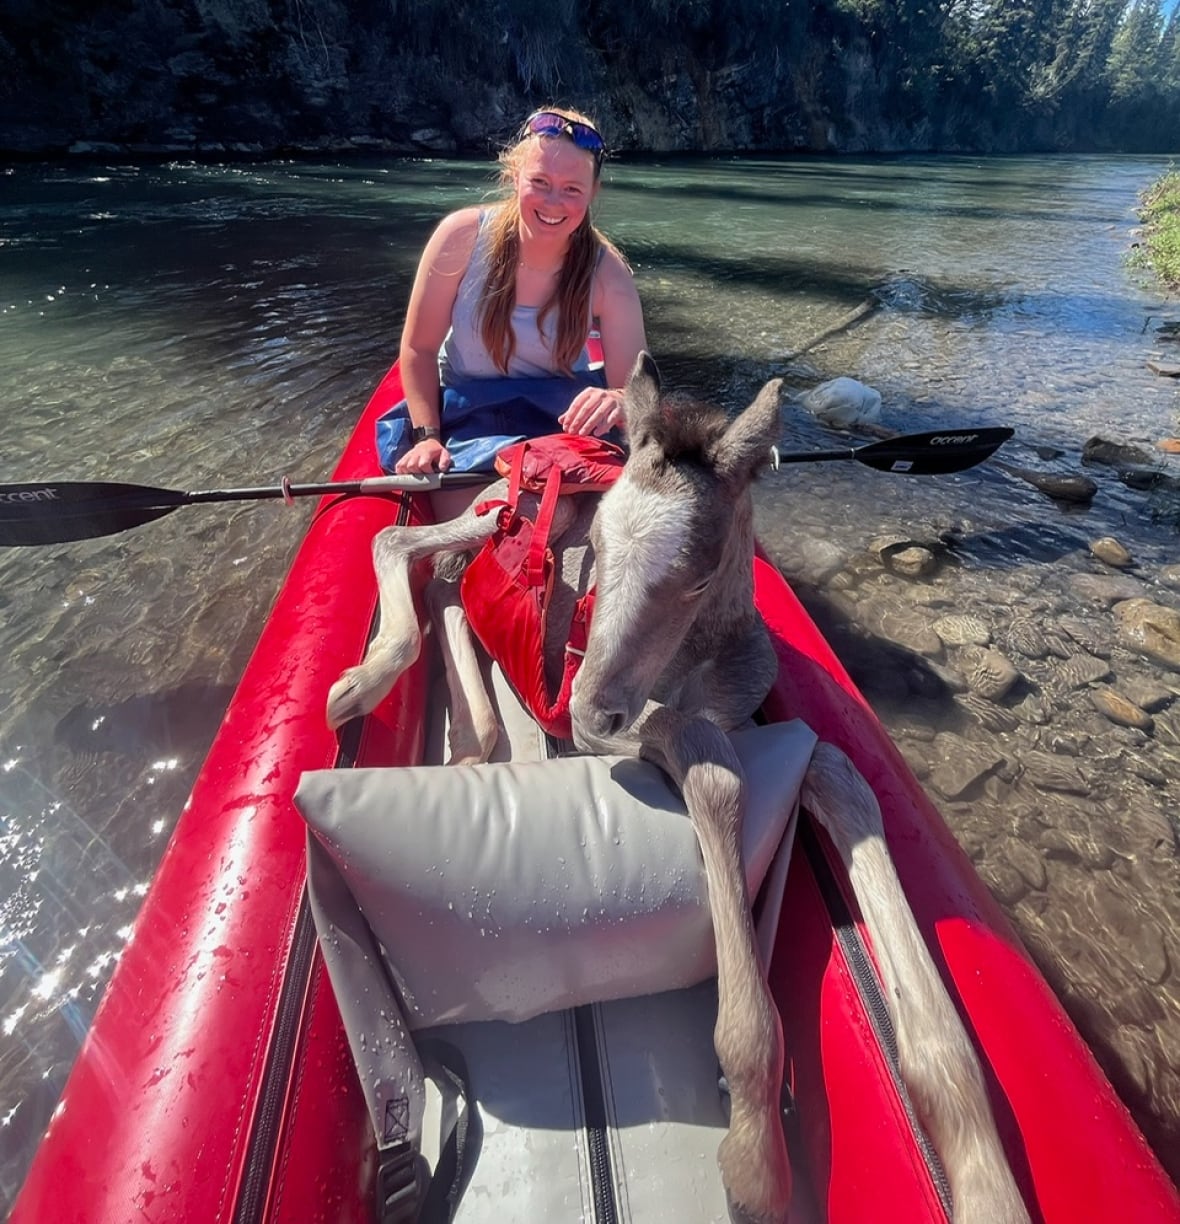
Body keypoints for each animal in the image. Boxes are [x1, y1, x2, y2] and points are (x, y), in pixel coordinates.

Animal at [326, 353, 1029, 1224]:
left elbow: (839, 771)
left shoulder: (750, 724)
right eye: (595, 544)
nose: (589, 701)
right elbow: (708, 760)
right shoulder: (616, 729)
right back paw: (370, 677)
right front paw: (755, 1146)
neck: (703, 663)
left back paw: (472, 738)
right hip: (493, 517)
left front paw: (984, 1180)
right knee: (403, 538)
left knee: (452, 586)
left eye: (695, 576)